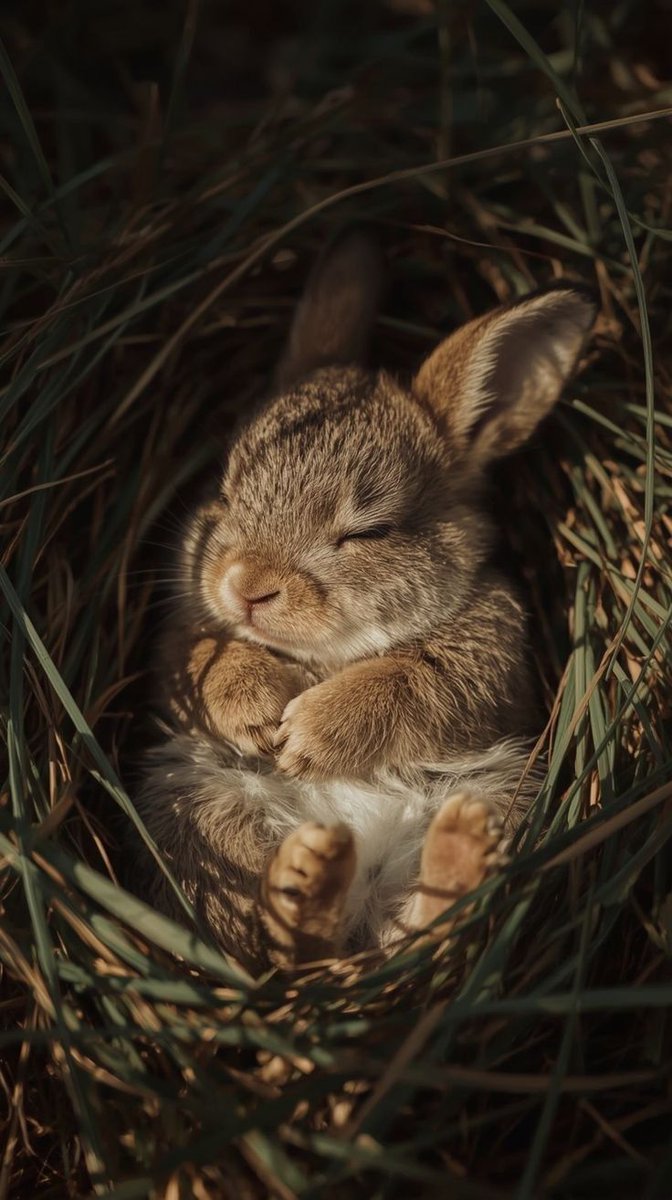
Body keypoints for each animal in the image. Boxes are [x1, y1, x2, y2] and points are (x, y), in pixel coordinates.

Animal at [137, 231, 596, 973]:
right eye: (226, 488)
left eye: (367, 532)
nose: (245, 585)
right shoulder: (181, 643)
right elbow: (200, 661)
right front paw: (262, 709)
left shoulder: (493, 656)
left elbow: (413, 683)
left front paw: (306, 734)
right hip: (199, 808)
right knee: (286, 942)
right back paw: (311, 876)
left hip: (497, 790)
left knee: (411, 929)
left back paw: (444, 852)